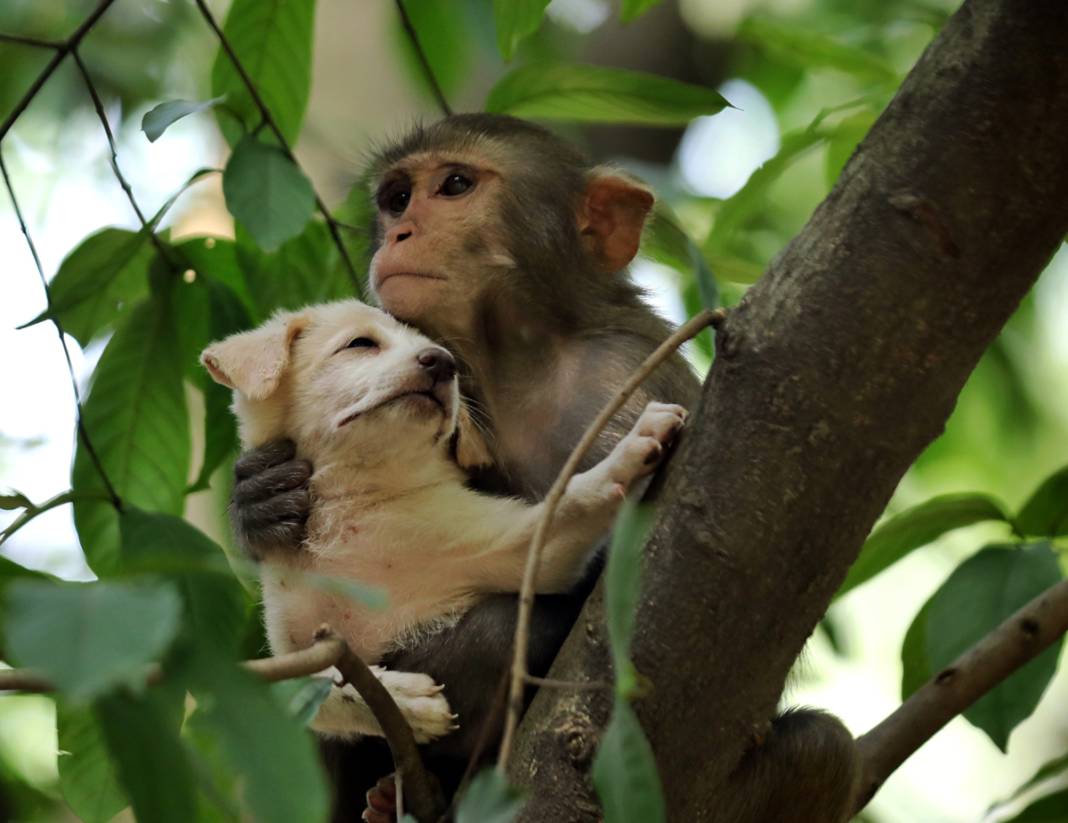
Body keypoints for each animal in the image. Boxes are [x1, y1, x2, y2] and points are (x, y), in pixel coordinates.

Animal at [200, 298, 683, 742]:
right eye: (360, 343)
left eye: (442, 354)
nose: (442, 362)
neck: (352, 504)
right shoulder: (296, 646)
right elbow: (320, 685)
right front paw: (405, 700)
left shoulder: (522, 549)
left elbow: (570, 501)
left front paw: (632, 448)